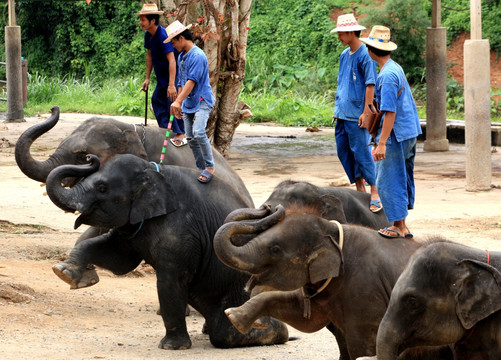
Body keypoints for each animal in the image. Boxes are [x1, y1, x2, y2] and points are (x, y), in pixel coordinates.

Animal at [45, 155, 288, 352]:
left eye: (102, 188)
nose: (89, 157)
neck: (154, 171)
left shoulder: (182, 230)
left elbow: (170, 280)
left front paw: (172, 348)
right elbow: (119, 260)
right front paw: (64, 273)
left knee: (225, 333)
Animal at [212, 204, 454, 358]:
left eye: (275, 249)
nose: (268, 207)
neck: (333, 231)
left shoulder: (366, 293)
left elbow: (364, 346)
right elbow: (305, 318)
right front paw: (235, 317)